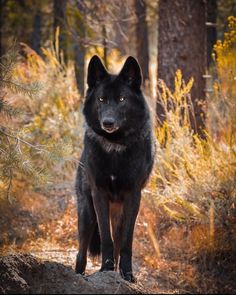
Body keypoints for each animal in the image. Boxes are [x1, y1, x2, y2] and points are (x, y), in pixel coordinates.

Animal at [74, 54, 154, 284]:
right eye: (101, 100)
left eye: (121, 99)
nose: (107, 123)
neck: (115, 148)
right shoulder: (99, 194)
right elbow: (106, 240)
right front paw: (105, 269)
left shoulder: (133, 196)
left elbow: (126, 243)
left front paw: (127, 274)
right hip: (87, 214)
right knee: (81, 253)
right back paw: (78, 275)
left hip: (118, 214)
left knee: (118, 241)